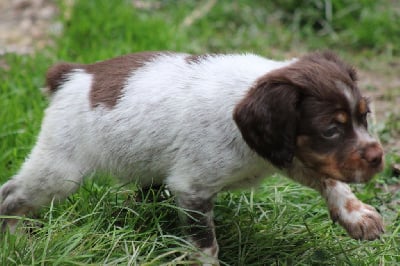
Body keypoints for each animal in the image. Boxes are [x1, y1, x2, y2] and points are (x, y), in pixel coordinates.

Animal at [1, 51, 386, 264]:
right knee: (12, 195)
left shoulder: (280, 152)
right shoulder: (193, 189)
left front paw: (357, 215)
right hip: (59, 170)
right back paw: (17, 241)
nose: (379, 157)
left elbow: (328, 177)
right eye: (330, 130)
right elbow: (206, 245)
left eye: (364, 115)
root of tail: (72, 74)